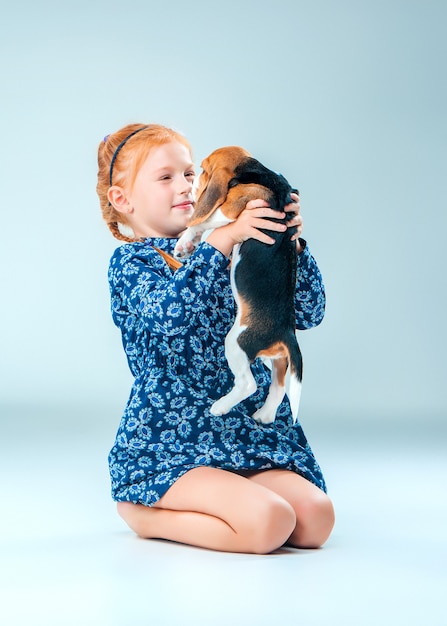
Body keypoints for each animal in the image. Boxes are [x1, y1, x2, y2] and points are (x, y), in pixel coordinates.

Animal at [175, 146, 304, 424]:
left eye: (203, 170)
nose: (190, 186)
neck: (259, 175)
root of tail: (286, 332)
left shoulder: (234, 207)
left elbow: (206, 220)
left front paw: (186, 239)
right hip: (277, 359)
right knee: (278, 387)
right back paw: (264, 416)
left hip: (236, 343)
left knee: (249, 385)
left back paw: (220, 406)